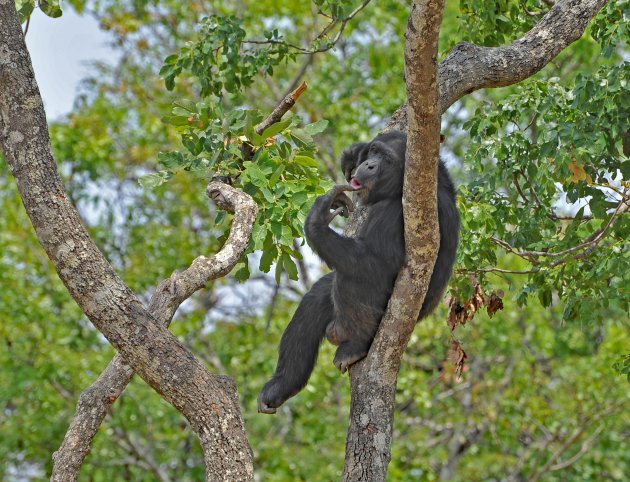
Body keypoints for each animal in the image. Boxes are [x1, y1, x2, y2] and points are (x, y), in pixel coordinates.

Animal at [256, 130, 460, 412]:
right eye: (374, 151)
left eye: (386, 159)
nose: (369, 164)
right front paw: (353, 154)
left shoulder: (399, 213)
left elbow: (376, 263)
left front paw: (318, 218)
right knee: (320, 292)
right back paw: (282, 385)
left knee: (348, 279)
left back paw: (356, 345)